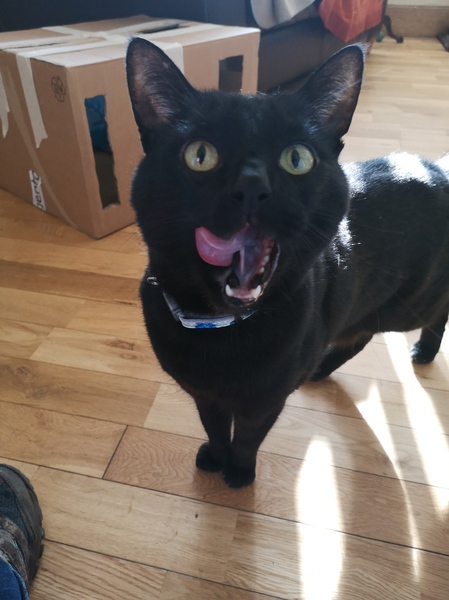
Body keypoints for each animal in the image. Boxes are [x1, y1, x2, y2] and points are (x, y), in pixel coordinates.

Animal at [126, 38, 449, 488]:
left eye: (297, 158)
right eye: (200, 155)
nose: (251, 186)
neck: (220, 331)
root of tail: (439, 167)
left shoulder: (266, 400)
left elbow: (248, 435)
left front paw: (239, 474)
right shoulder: (203, 393)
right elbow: (214, 424)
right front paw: (215, 456)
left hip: (409, 305)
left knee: (434, 312)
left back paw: (424, 350)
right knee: (360, 332)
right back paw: (320, 368)